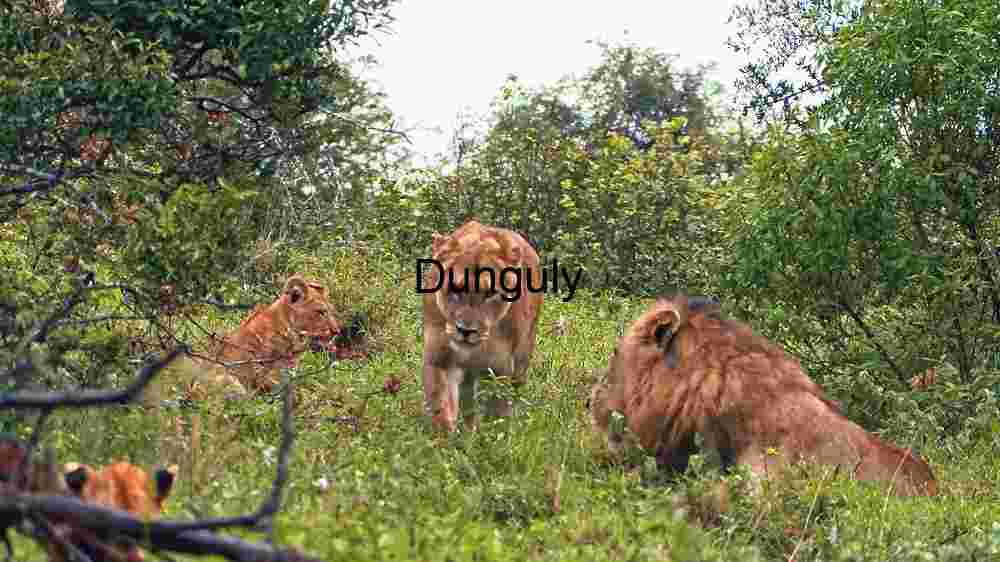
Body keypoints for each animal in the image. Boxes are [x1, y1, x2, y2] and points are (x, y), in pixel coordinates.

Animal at [421, 220, 544, 432]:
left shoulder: (499, 368)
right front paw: (444, 438)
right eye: (455, 289)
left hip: (522, 359)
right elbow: (441, 408)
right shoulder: (437, 356)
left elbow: (496, 417)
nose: (465, 331)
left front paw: (489, 438)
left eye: (490, 294)